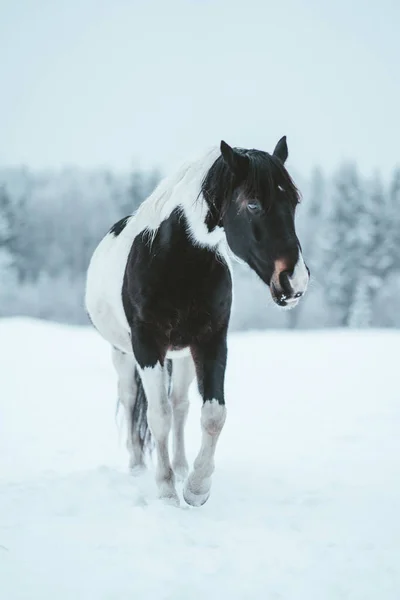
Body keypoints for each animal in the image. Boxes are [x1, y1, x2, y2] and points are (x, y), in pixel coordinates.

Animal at [84, 137, 310, 506]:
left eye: (293, 202)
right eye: (252, 204)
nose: (295, 281)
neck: (176, 262)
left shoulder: (211, 341)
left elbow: (212, 414)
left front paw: (196, 487)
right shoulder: (147, 346)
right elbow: (157, 415)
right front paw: (165, 491)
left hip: (182, 356)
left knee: (180, 406)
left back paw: (180, 466)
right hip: (123, 354)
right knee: (131, 399)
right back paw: (137, 467)